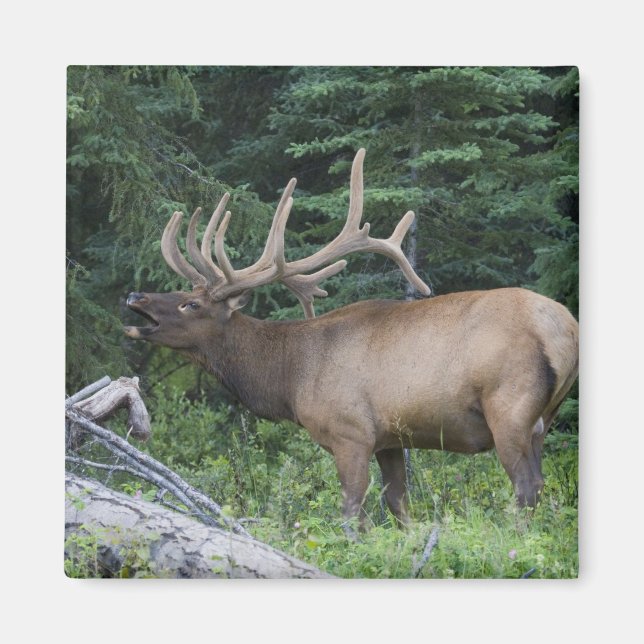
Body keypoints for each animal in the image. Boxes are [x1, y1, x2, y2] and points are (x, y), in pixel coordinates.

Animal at [124, 148, 579, 531]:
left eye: (191, 304)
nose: (134, 296)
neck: (291, 378)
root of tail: (566, 329)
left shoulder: (350, 432)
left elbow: (350, 513)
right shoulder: (390, 438)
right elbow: (398, 505)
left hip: (509, 404)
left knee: (526, 487)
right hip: (543, 418)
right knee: (541, 486)